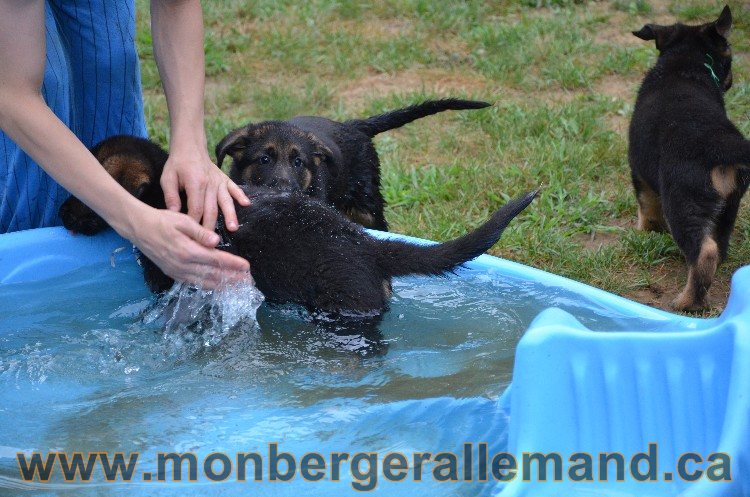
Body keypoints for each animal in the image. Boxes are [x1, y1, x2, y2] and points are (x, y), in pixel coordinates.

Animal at [632, 5, 748, 310]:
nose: (731, 82)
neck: (686, 65)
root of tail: (720, 143)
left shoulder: (638, 172)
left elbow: (646, 206)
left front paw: (645, 232)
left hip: (682, 202)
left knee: (703, 251)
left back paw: (687, 302)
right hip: (730, 203)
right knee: (718, 244)